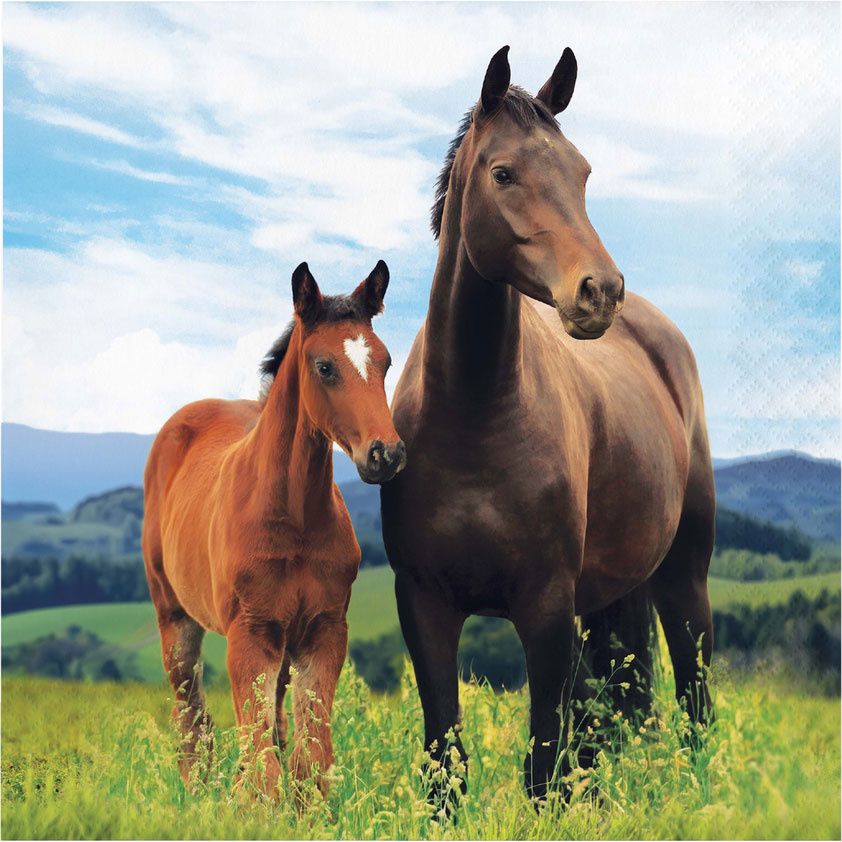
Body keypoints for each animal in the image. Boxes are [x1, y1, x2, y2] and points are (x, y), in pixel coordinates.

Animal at [142, 260, 406, 800]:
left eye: (386, 362)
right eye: (324, 366)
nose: (385, 454)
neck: (294, 518)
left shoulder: (323, 631)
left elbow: (310, 761)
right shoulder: (250, 634)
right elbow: (260, 762)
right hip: (175, 617)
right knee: (191, 722)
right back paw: (196, 795)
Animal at [380, 46, 715, 802]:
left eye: (582, 172)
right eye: (504, 173)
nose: (599, 291)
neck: (474, 418)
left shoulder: (546, 609)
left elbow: (544, 767)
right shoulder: (424, 606)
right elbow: (448, 768)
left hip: (685, 579)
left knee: (696, 705)